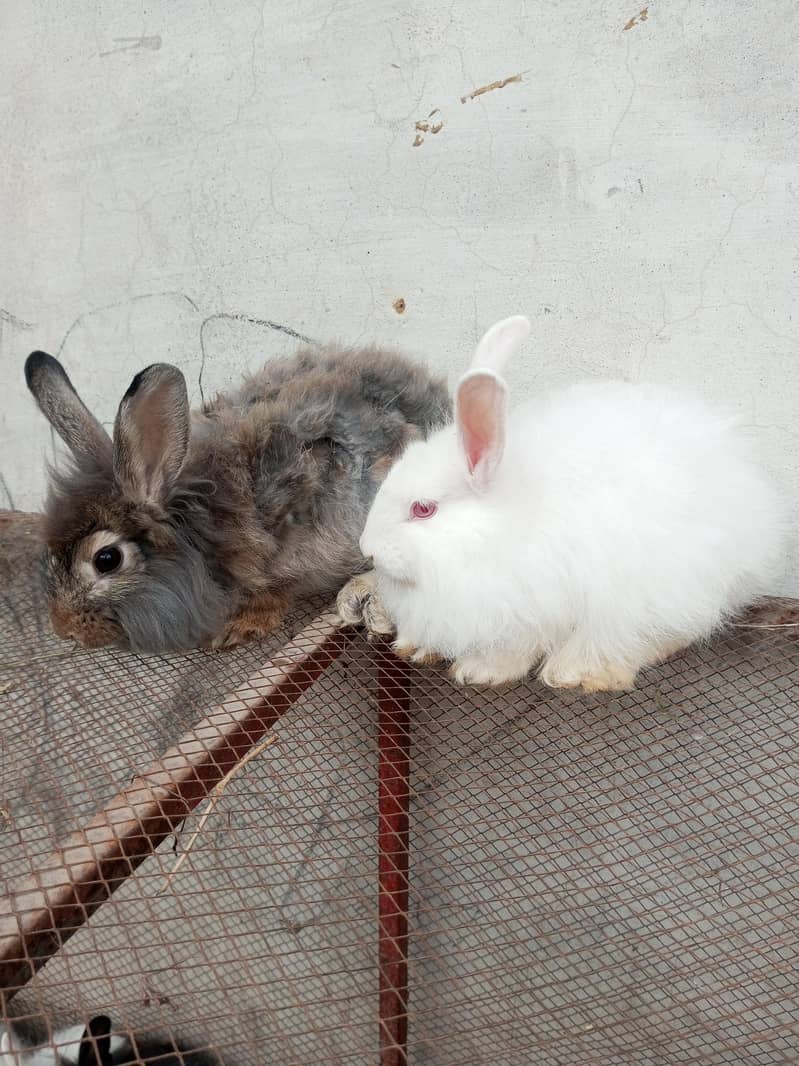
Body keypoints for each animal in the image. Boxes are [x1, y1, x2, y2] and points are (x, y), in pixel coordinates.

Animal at [337, 315, 784, 691]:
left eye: (423, 509)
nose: (367, 549)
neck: (494, 534)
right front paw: (417, 647)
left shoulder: (535, 608)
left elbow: (515, 647)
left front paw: (479, 670)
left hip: (671, 584)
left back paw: (579, 671)